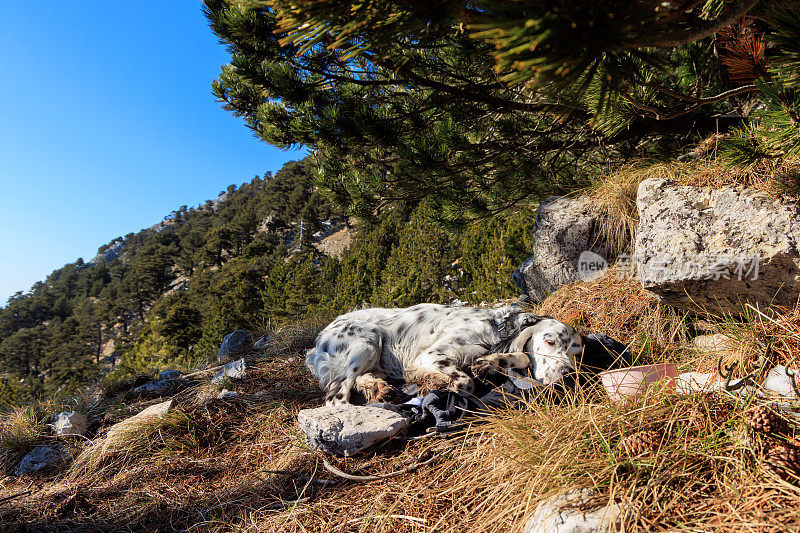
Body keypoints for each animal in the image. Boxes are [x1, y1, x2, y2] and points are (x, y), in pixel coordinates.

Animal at [306, 304, 624, 404]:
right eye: (548, 341)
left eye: (577, 355)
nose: (569, 374)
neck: (496, 330)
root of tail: (317, 342)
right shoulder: (432, 355)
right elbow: (465, 382)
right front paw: (436, 382)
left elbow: (516, 357)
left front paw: (489, 364)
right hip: (368, 338)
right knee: (336, 398)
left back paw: (378, 388)